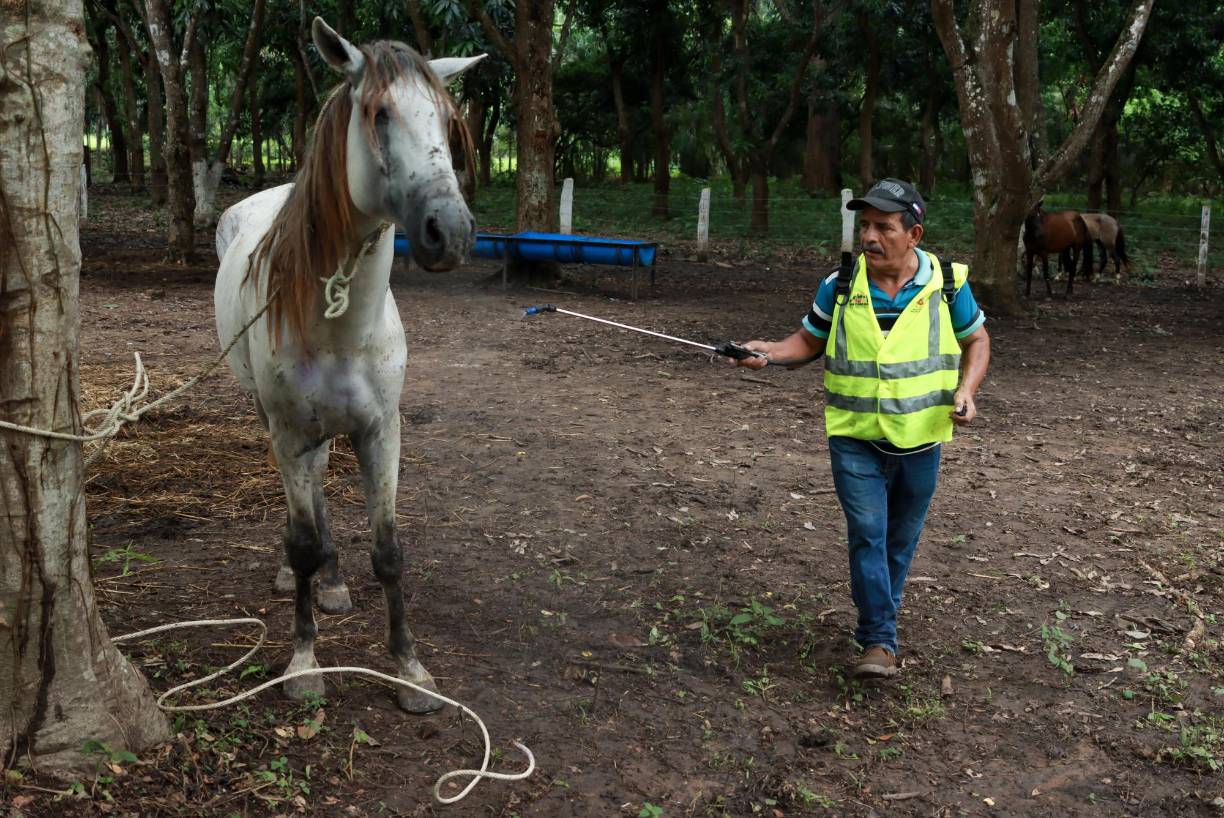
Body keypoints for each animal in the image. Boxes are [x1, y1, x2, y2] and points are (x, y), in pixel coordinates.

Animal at [213, 18, 483, 712]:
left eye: (447, 118)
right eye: (380, 114)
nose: (451, 231)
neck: (339, 330)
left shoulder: (382, 431)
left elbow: (388, 551)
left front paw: (410, 669)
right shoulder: (288, 431)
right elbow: (304, 539)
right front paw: (304, 662)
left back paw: (334, 583)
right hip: (271, 420)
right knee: (304, 505)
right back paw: (300, 576)